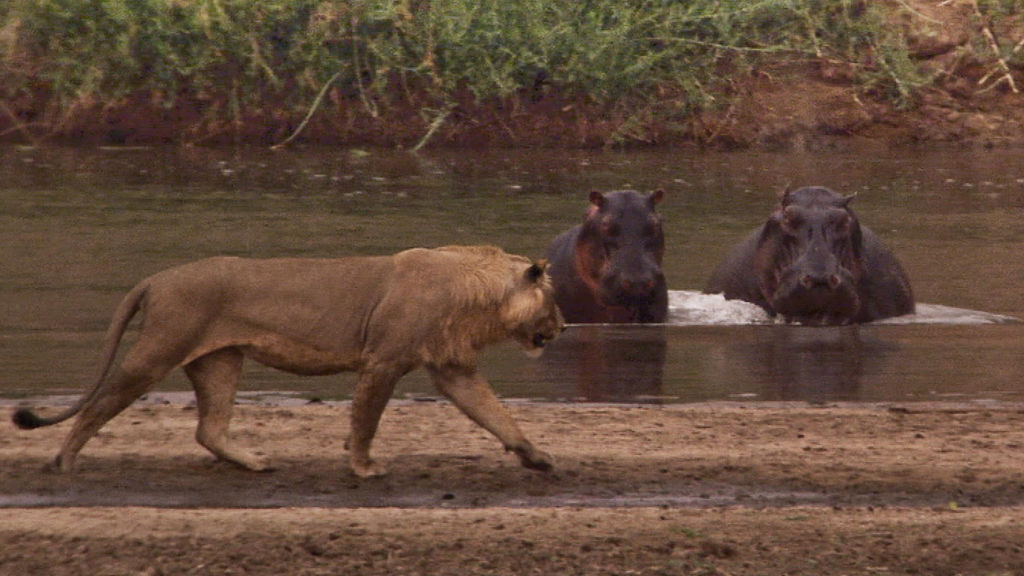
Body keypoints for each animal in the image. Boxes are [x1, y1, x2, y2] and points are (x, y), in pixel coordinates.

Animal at [12, 242, 565, 475]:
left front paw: (537, 457)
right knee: (97, 405)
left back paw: (255, 463)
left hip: (219, 361)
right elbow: (367, 419)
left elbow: (496, 415)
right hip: (157, 351)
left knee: (208, 428)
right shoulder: (383, 361)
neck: (478, 296)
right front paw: (363, 467)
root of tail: (155, 278)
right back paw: (64, 461)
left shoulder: (452, 368)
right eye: (555, 300)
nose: (562, 328)